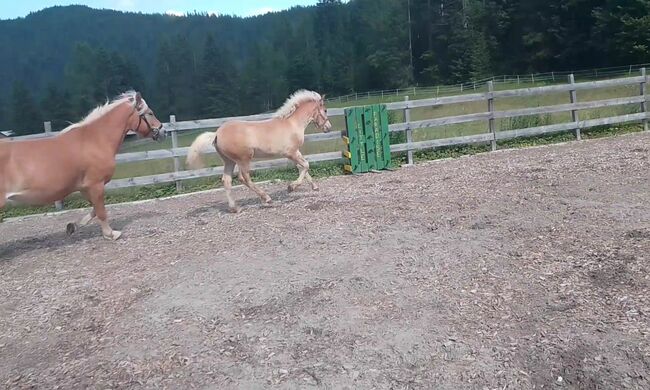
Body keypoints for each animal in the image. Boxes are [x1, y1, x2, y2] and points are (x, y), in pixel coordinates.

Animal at [0, 90, 162, 241]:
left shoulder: (85, 187)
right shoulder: (96, 184)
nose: (162, 130)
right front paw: (110, 234)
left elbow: (95, 209)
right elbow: (101, 211)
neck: (94, 140)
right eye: (150, 113)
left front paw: (73, 226)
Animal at [186, 89, 330, 213]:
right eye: (325, 110)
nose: (328, 127)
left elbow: (302, 167)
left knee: (226, 180)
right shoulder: (291, 153)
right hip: (243, 159)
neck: (292, 124)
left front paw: (314, 187)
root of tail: (216, 134)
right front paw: (291, 187)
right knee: (244, 178)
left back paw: (235, 208)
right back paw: (267, 198)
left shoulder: (294, 152)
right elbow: (306, 165)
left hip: (229, 161)